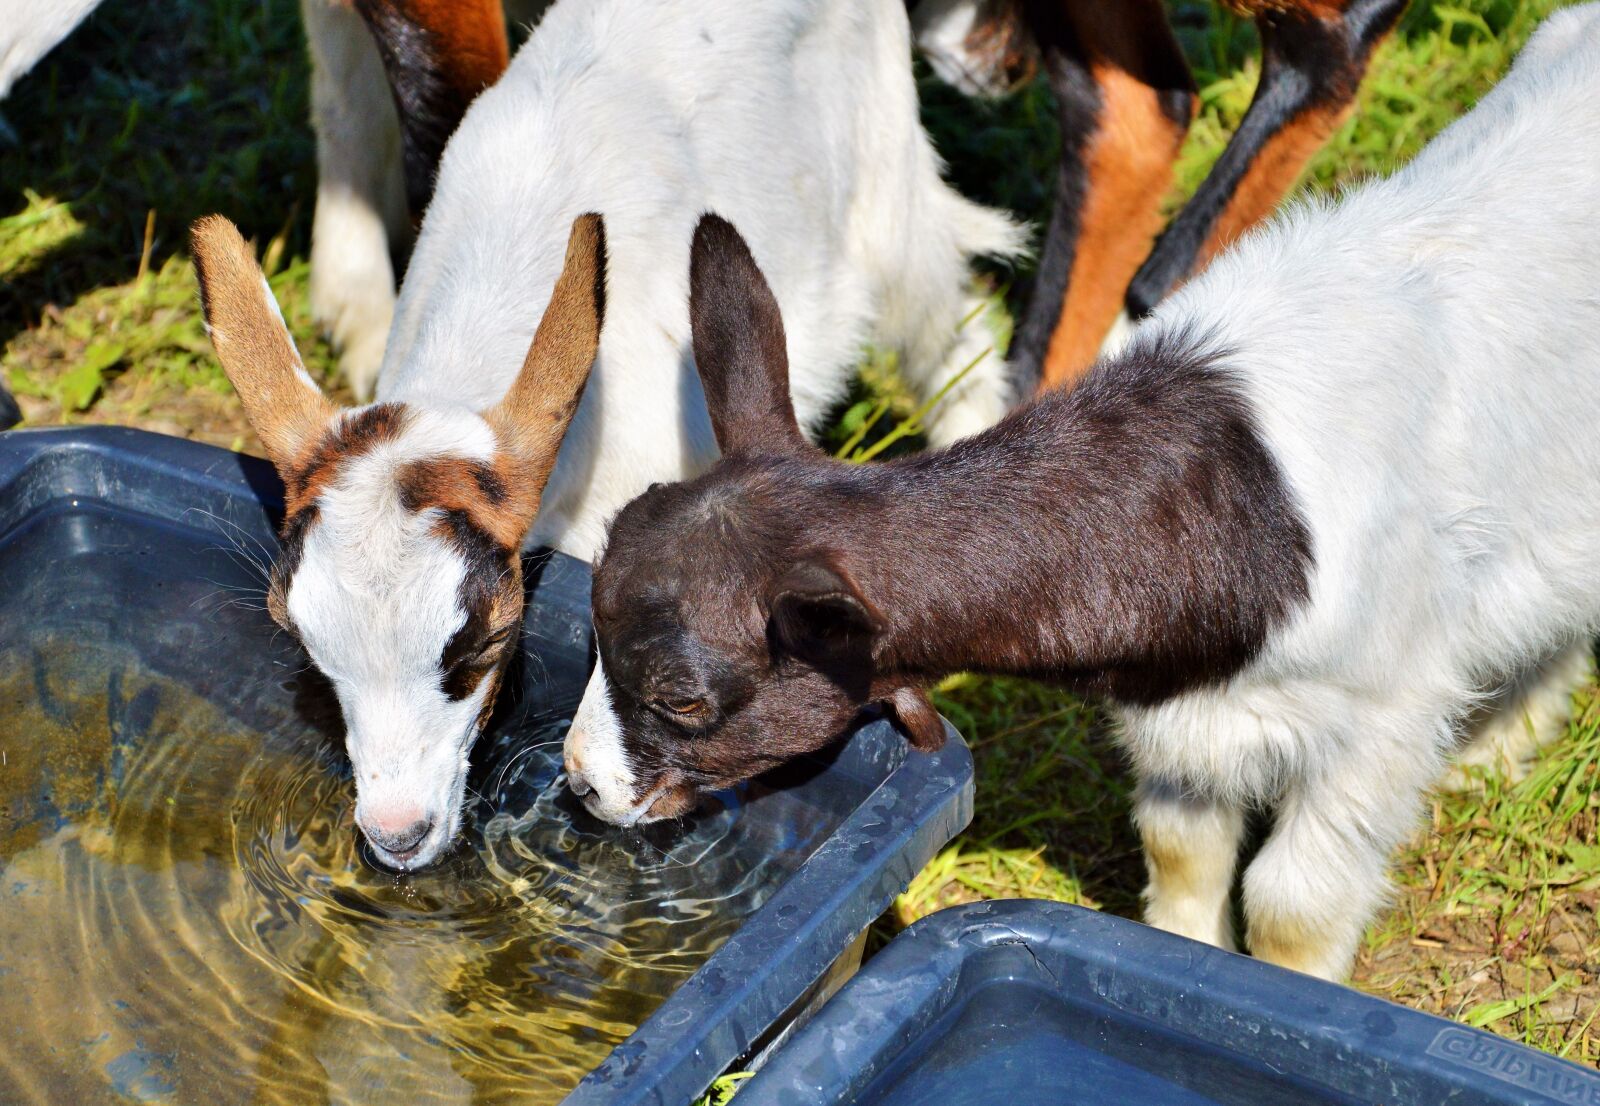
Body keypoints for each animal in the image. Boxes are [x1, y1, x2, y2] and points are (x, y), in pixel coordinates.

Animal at [567, 4, 1600, 981]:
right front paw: (1183, 956)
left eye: (683, 697)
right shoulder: (1187, 718)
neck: (1238, 493)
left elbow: (1293, 902)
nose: (579, 783)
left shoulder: (1375, 718)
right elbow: (1182, 850)